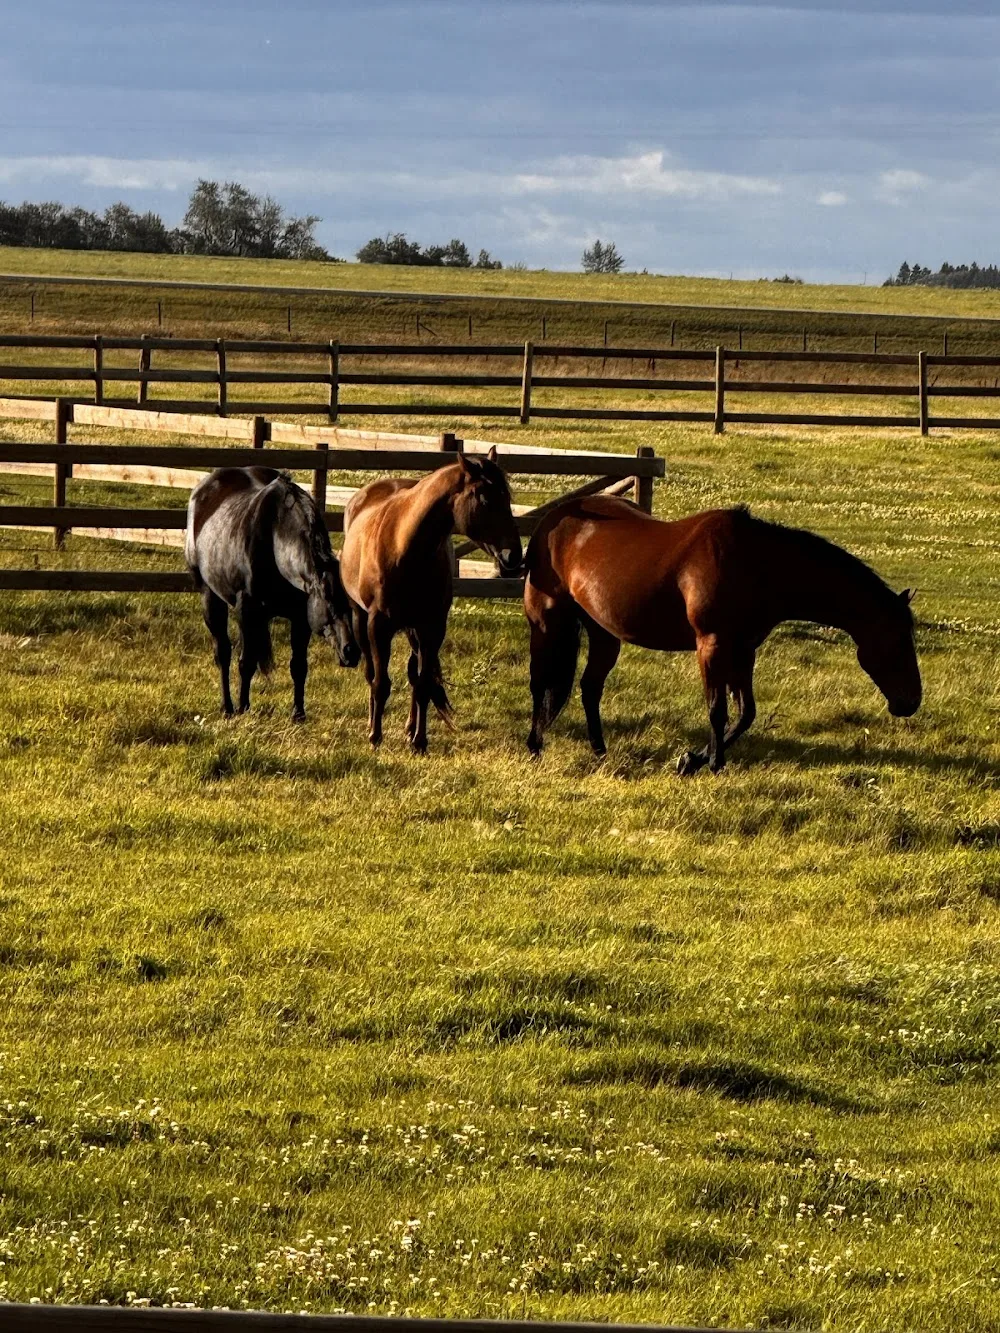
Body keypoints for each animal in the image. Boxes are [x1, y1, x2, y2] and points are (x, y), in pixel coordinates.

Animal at [185, 466, 360, 721]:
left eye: (353, 605)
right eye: (328, 600)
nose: (352, 652)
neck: (276, 539)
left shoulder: (301, 617)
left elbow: (299, 665)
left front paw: (298, 713)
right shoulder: (247, 610)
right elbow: (246, 662)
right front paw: (243, 708)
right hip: (210, 596)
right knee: (223, 653)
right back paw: (227, 707)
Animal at [340, 447, 522, 752]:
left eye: (507, 498)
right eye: (484, 498)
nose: (513, 557)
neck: (404, 548)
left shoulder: (432, 627)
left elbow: (423, 684)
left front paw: (419, 741)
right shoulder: (378, 625)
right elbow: (380, 682)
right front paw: (375, 737)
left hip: (414, 629)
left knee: (413, 676)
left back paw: (409, 727)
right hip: (360, 618)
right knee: (371, 673)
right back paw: (372, 724)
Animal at [523, 498, 921, 774]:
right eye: (898, 640)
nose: (911, 702)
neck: (756, 564)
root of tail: (552, 520)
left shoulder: (744, 650)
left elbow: (745, 713)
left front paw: (692, 759)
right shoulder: (711, 645)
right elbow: (717, 709)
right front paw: (712, 764)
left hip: (605, 634)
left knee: (590, 687)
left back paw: (599, 750)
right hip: (546, 623)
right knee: (541, 684)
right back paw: (535, 746)